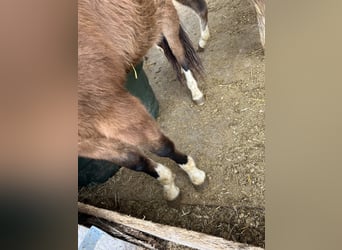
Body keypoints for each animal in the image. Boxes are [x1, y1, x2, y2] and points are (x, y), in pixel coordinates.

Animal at [78, 0, 206, 200]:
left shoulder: (115, 108)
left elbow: (162, 147)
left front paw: (194, 174)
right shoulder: (85, 142)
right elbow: (135, 162)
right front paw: (168, 184)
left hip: (165, 16)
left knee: (180, 54)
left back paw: (195, 89)